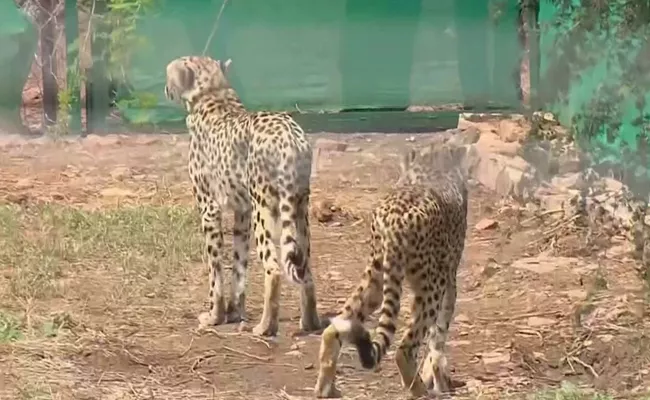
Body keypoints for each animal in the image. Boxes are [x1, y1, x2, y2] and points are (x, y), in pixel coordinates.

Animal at [165, 55, 322, 338]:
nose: (165, 87)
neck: (214, 95)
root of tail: (290, 135)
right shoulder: (243, 211)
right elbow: (238, 265)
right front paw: (234, 312)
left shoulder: (209, 208)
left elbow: (215, 268)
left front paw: (215, 316)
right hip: (300, 208)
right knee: (305, 267)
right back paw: (310, 322)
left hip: (265, 208)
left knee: (273, 268)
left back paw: (265, 327)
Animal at [312, 141, 466, 396]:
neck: (430, 163)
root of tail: (394, 218)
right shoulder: (449, 279)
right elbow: (439, 335)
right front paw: (438, 378)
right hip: (430, 286)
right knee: (404, 348)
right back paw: (419, 391)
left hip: (376, 277)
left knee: (334, 328)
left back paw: (326, 388)